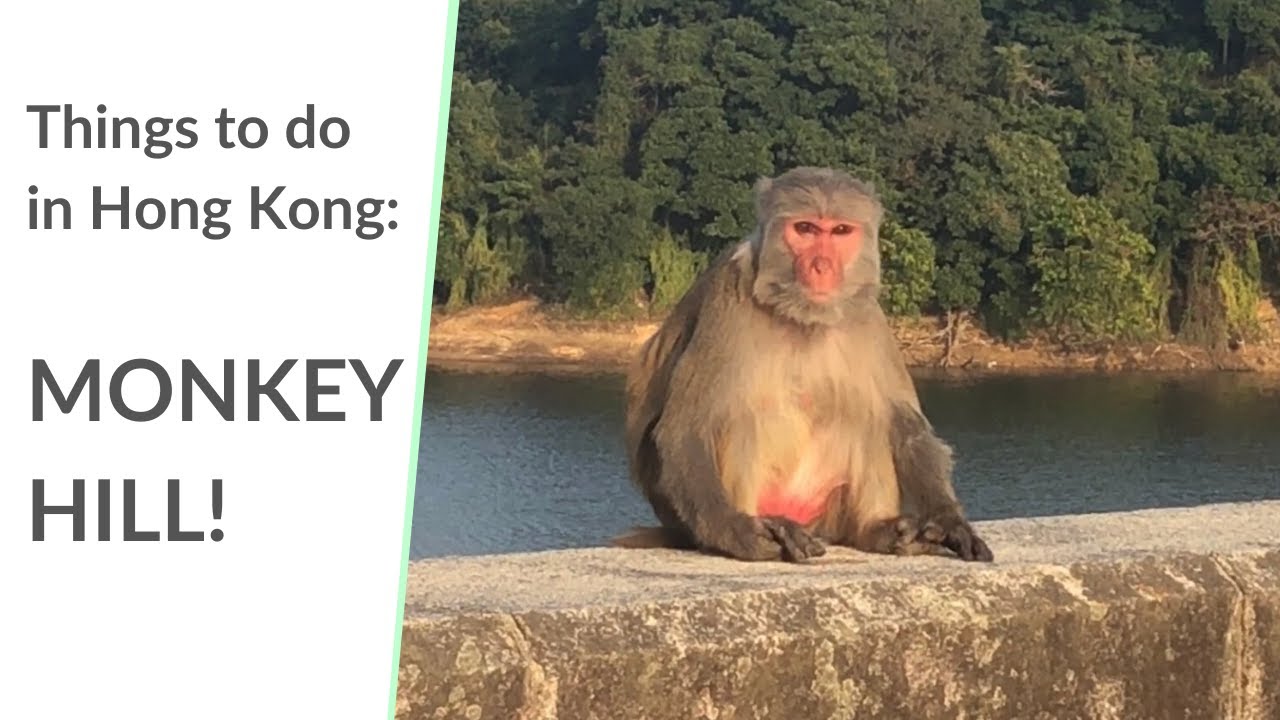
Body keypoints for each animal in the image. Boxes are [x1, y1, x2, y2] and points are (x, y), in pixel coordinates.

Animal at [614, 166, 993, 563]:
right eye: (806, 229)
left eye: (840, 231)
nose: (821, 266)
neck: (802, 318)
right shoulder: (727, 296)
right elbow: (686, 426)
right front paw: (735, 530)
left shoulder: (868, 316)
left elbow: (902, 420)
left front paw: (948, 519)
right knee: (743, 416)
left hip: (826, 511)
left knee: (866, 413)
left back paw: (875, 531)